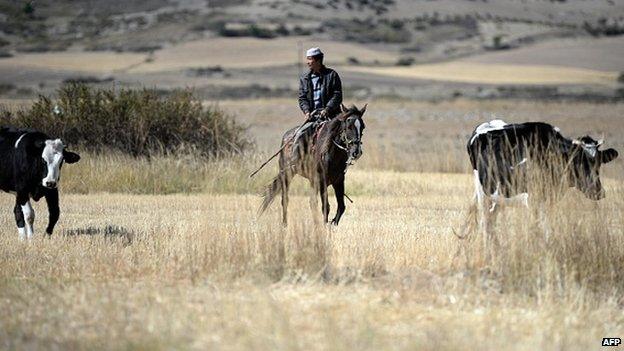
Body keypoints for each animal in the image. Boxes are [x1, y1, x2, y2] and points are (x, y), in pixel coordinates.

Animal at [468, 119, 620, 210]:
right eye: (577, 162)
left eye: (598, 164)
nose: (598, 192)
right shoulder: (533, 201)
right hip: (483, 194)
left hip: (499, 197)